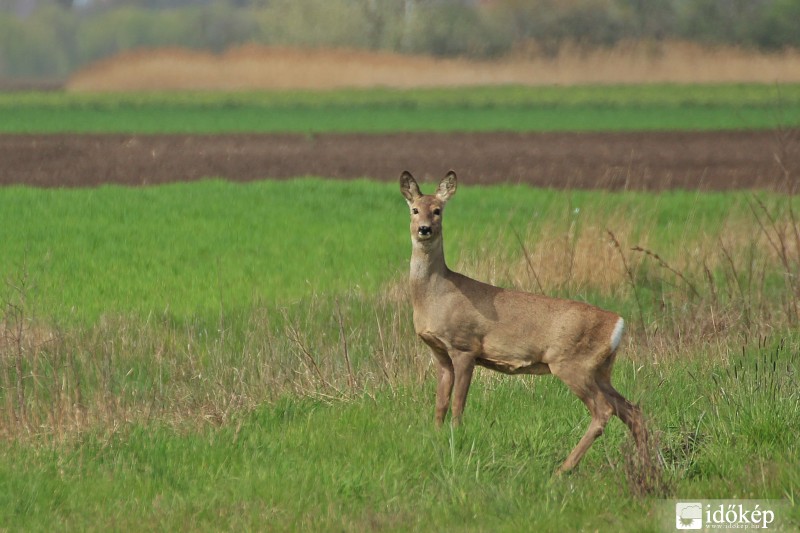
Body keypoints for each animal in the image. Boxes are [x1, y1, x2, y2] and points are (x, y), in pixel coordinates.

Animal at [400, 168, 648, 472]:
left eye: (438, 210)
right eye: (414, 209)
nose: (424, 228)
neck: (435, 293)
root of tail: (618, 323)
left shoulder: (464, 346)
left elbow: (458, 404)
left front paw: (455, 440)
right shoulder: (440, 353)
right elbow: (440, 404)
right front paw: (435, 438)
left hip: (572, 363)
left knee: (605, 411)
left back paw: (563, 470)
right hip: (600, 370)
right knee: (633, 411)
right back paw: (646, 467)